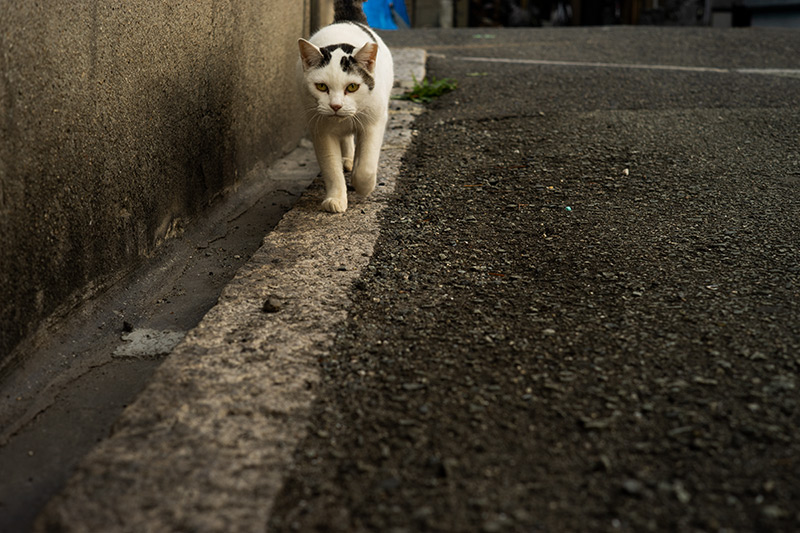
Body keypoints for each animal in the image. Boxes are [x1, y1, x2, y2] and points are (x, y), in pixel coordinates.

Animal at [296, 0, 394, 212]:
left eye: (352, 87)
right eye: (321, 86)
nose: (336, 105)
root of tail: (346, 19)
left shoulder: (374, 122)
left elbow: (366, 165)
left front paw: (362, 185)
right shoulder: (320, 130)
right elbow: (331, 167)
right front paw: (336, 198)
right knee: (346, 137)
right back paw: (348, 159)